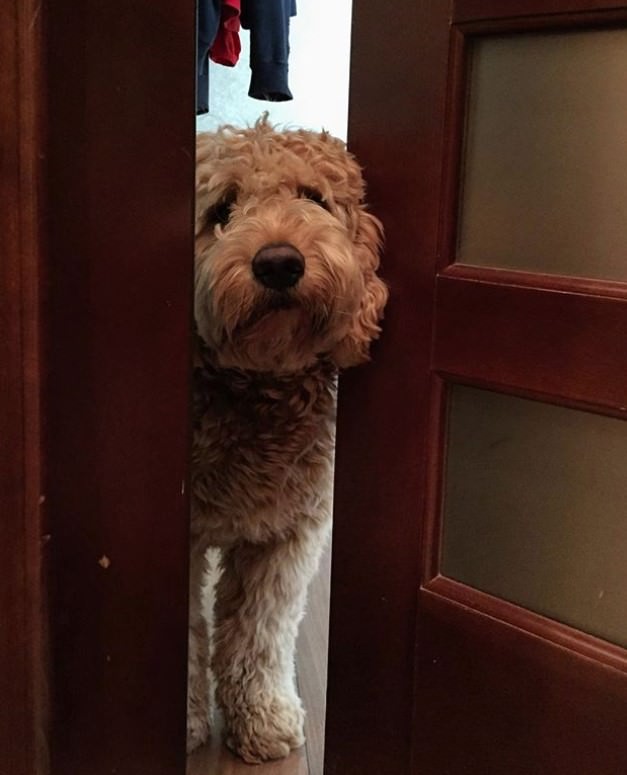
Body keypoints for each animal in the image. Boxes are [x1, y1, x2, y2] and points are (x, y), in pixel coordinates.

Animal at [189, 119, 390, 764]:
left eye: (313, 197)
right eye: (222, 209)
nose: (279, 263)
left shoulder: (287, 535)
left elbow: (258, 630)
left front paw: (260, 717)